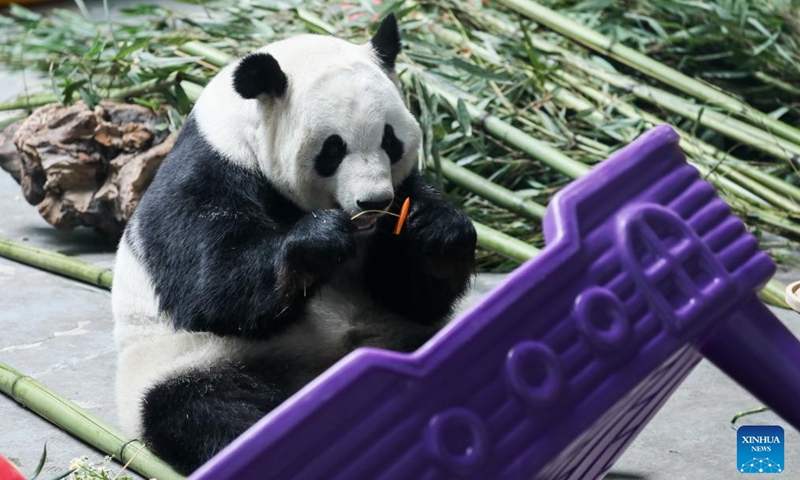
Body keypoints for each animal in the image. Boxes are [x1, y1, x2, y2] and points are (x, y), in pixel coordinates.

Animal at [111, 13, 476, 474]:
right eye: (333, 149)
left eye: (390, 141)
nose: (373, 201)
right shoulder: (209, 172)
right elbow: (212, 285)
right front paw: (318, 241)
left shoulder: (402, 198)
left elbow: (410, 293)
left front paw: (439, 234)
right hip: (188, 362)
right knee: (206, 409)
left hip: (399, 334)